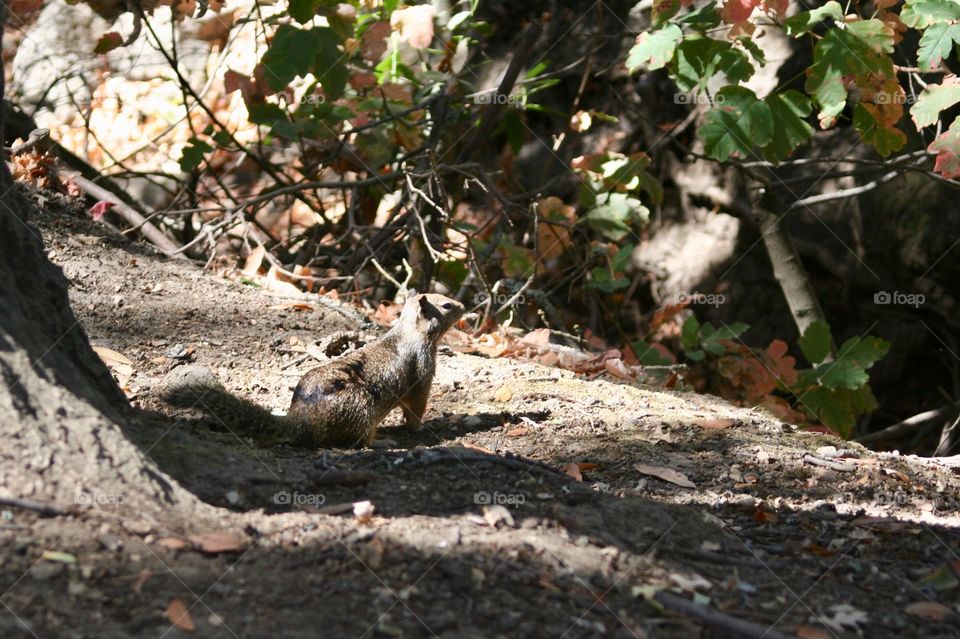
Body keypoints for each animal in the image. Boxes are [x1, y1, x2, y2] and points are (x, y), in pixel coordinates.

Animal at [162, 293, 464, 448]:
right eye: (447, 305)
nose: (463, 306)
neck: (410, 331)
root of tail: (301, 420)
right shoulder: (423, 370)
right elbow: (416, 407)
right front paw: (421, 428)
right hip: (363, 412)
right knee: (357, 442)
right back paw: (383, 441)